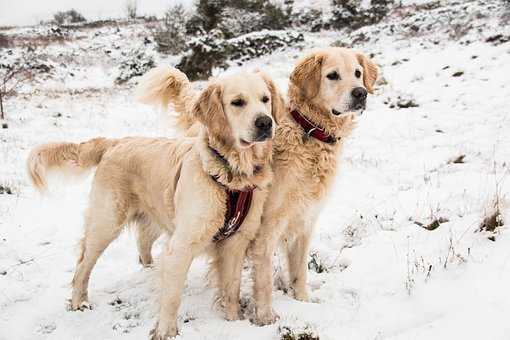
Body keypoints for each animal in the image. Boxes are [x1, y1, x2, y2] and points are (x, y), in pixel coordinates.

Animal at [25, 71, 284, 338]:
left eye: (265, 99)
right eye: (237, 102)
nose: (265, 123)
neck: (230, 175)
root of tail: (115, 142)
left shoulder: (235, 242)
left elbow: (231, 289)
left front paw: (232, 322)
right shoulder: (182, 245)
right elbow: (172, 297)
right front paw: (166, 331)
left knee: (142, 241)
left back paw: (147, 269)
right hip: (106, 222)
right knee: (83, 264)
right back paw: (79, 302)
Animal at [144, 46, 378, 326]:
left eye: (358, 73)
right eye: (332, 75)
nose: (360, 93)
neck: (308, 133)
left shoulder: (305, 220)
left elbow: (299, 271)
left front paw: (303, 301)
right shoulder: (267, 227)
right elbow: (264, 278)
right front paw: (265, 317)